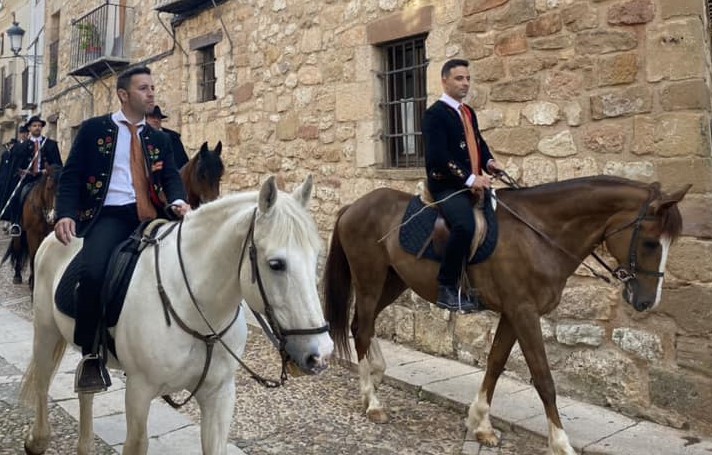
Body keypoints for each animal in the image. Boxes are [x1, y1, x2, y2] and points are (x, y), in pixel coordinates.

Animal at [20, 176, 334, 454]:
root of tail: (56, 234)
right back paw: (37, 440)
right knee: (43, 381)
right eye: (276, 264)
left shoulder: (220, 395)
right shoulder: (139, 390)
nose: (320, 354)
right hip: (46, 332)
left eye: (316, 257)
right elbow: (136, 445)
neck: (196, 311)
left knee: (85, 391)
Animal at [324, 177, 688, 455]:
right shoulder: (523, 312)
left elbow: (496, 364)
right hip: (370, 280)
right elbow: (543, 379)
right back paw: (373, 402)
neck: (539, 234)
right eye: (651, 243)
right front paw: (561, 443)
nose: (646, 301)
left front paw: (480, 423)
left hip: (393, 281)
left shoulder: (513, 314)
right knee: (362, 328)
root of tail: (353, 206)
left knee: (363, 325)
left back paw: (376, 374)